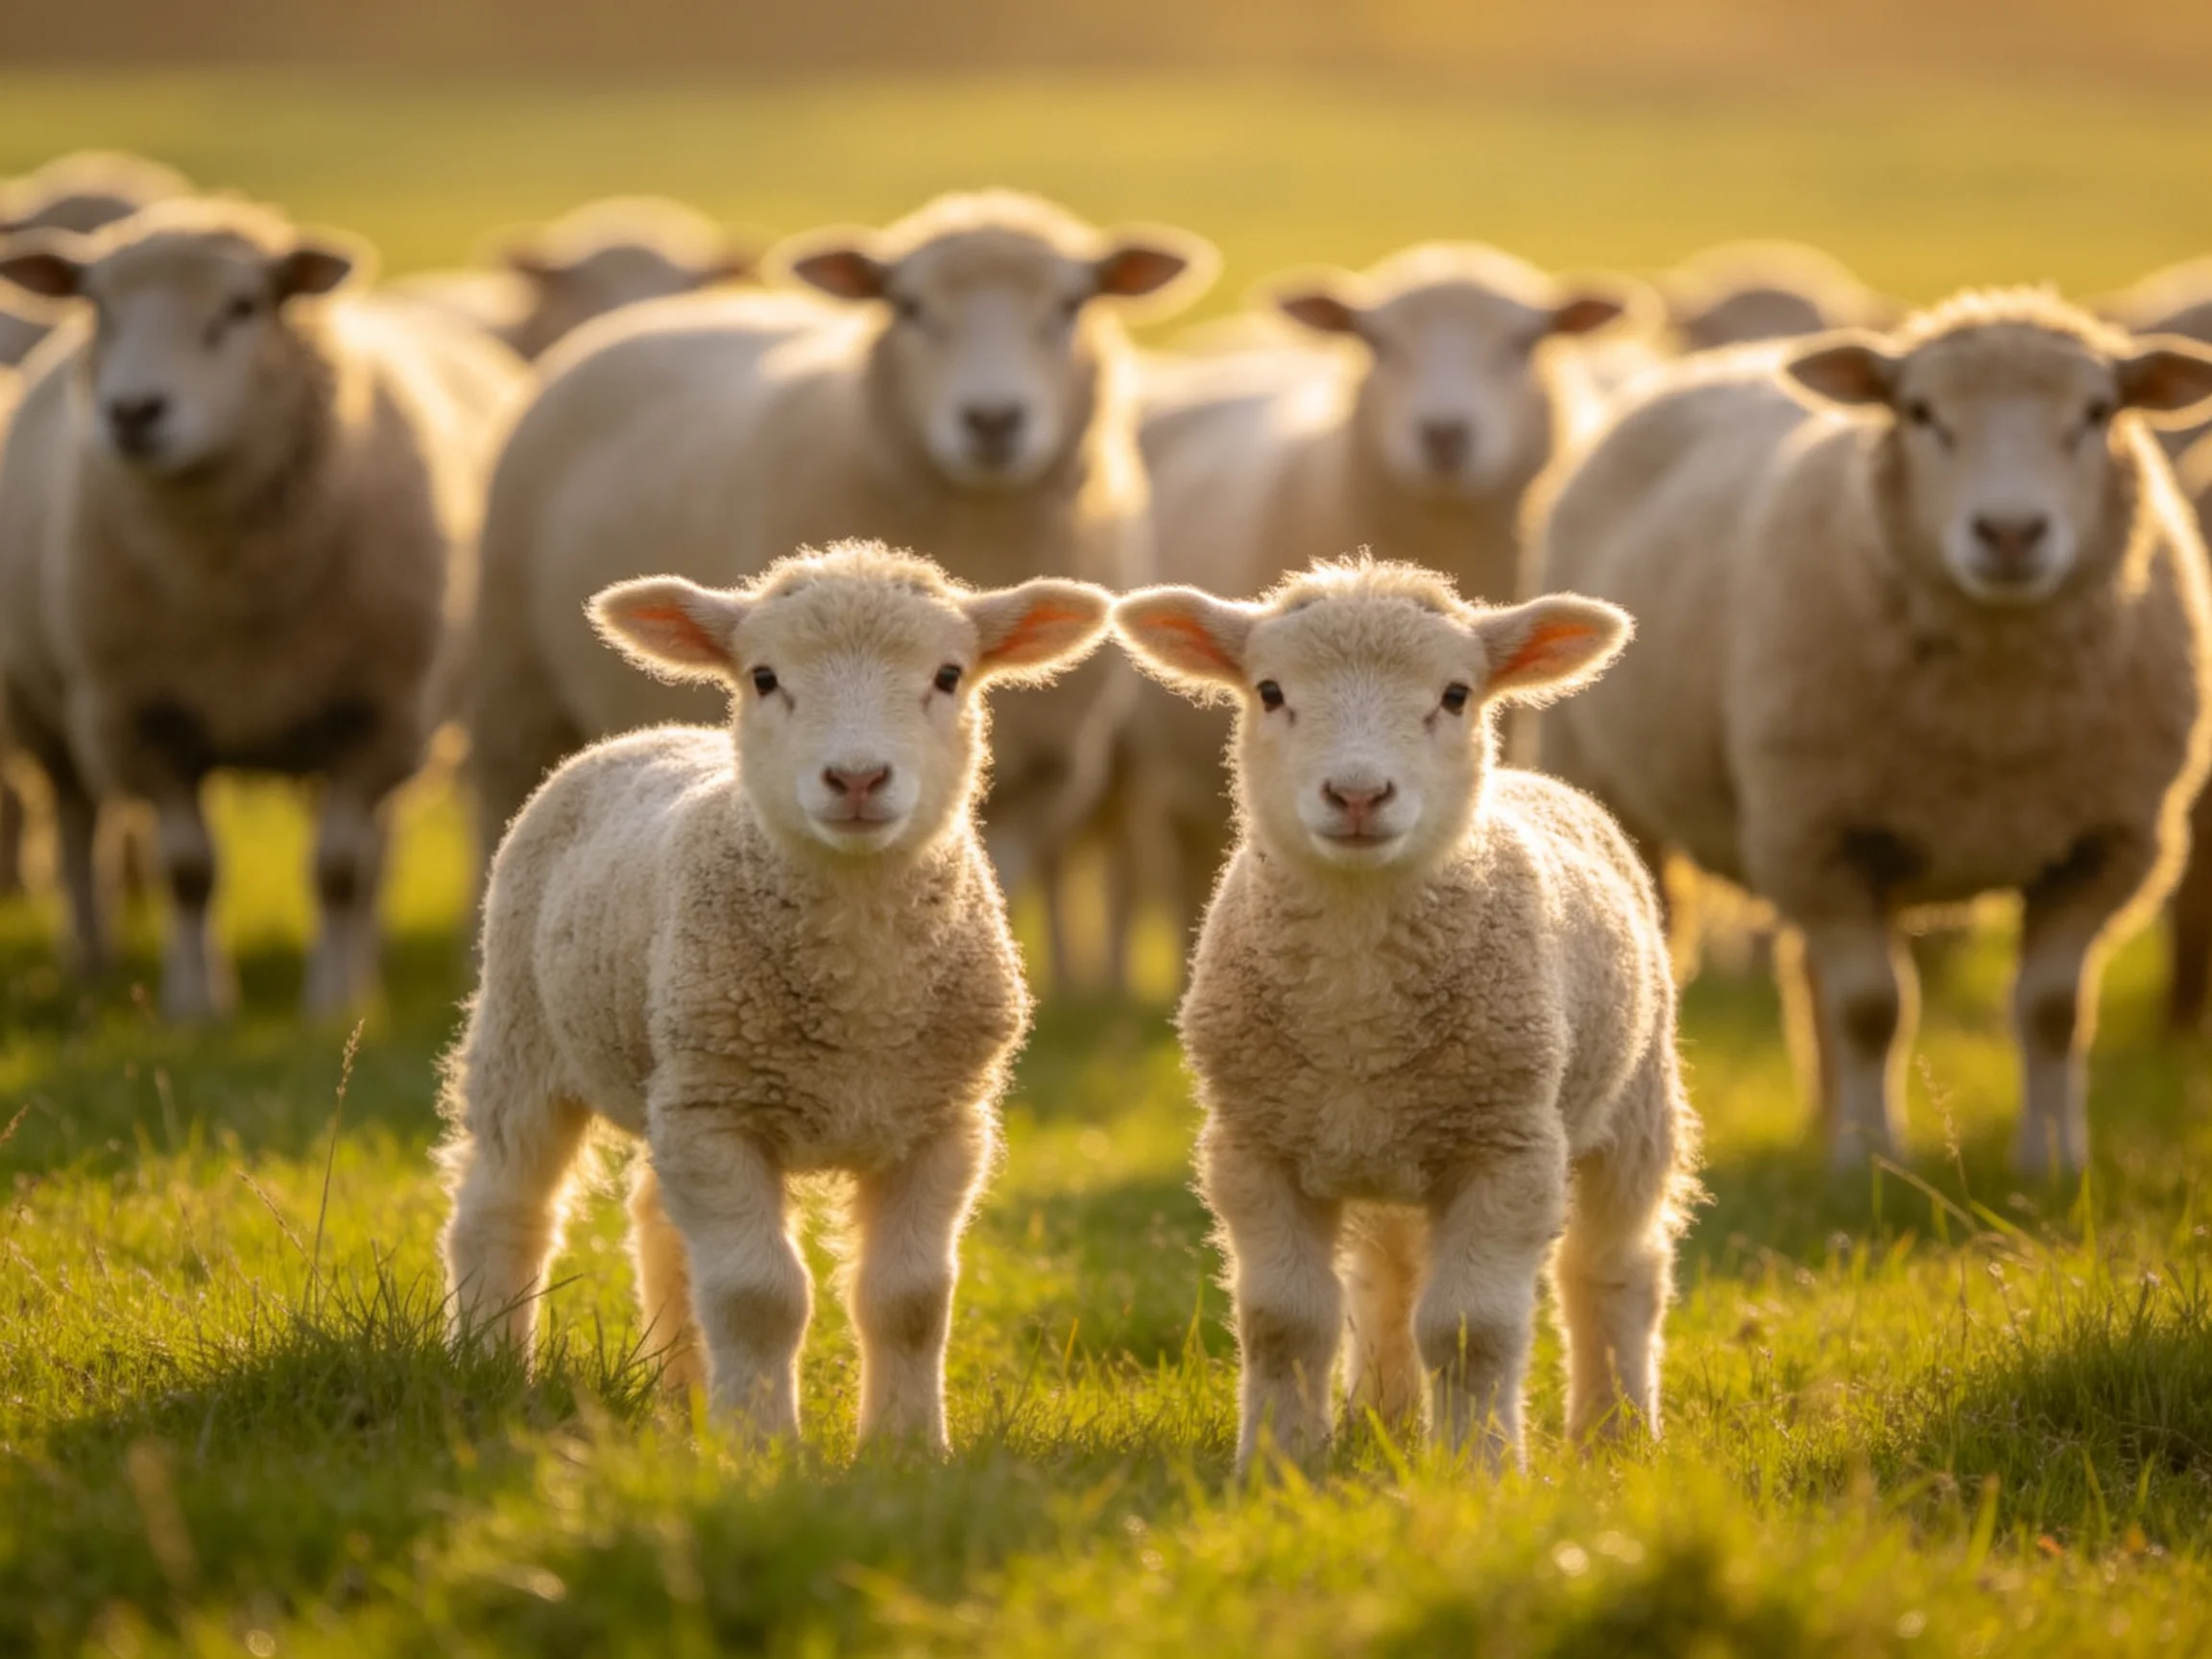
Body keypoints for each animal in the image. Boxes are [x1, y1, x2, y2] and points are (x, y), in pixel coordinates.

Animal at [0, 198, 525, 1017]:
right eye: (98, 307)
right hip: (45, 713)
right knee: (77, 823)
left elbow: (339, 868)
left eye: (242, 307)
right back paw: (90, 960)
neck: (231, 583)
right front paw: (196, 1007)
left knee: (373, 854)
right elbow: (188, 869)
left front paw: (334, 1001)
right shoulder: (137, 717)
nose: (134, 412)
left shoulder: (377, 717)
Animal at [438, 541, 1111, 1449]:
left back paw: (684, 1398)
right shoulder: (721, 1115)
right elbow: (759, 1297)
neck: (861, 999)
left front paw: (905, 1448)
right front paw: (761, 1446)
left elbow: (909, 1300)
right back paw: (491, 1366)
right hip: (524, 1028)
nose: (857, 778)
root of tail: (652, 734)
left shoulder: (941, 1123)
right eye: (763, 677)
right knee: (504, 1205)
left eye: (948, 675)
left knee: (659, 1229)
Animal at [465, 190, 1215, 977]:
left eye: (1071, 304)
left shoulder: (1043, 775)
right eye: (910, 305)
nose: (991, 420)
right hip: (515, 684)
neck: (977, 532)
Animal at [1113, 557, 1697, 1473]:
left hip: (1635, 1104)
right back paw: (1378, 1417)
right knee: (1386, 1279)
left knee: (1613, 1268)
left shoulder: (1506, 1146)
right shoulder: (1255, 1146)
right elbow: (1284, 1322)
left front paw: (1479, 1470)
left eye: (1456, 695)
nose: (1358, 794)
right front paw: (1276, 1463)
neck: (1358, 1011)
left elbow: (1471, 1331)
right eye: (1270, 691)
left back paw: (1617, 1431)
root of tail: (1533, 781)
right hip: (1386, 1147)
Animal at [1533, 291, 2212, 1173]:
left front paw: (2052, 1161)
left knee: (1807, 970)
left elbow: (2053, 1010)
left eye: (2098, 413)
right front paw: (1870, 1164)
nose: (2010, 534)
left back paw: (1827, 1120)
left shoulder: (2110, 844)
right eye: (1920, 412)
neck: (1995, 712)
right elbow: (1870, 1009)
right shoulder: (1822, 834)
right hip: (1619, 783)